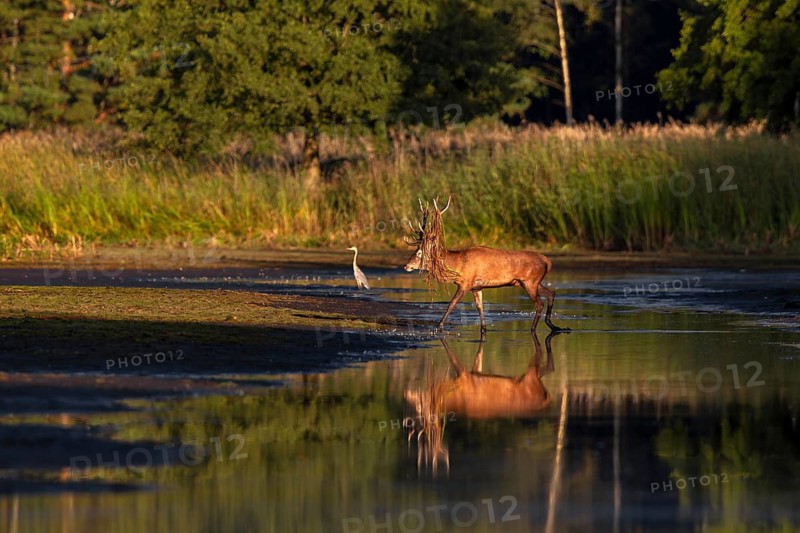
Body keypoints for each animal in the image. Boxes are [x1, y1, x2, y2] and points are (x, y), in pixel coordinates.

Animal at [403, 198, 570, 334]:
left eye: (419, 253)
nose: (406, 266)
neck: (456, 265)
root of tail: (548, 261)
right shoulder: (477, 287)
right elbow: (480, 307)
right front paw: (483, 328)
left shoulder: (466, 283)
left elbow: (452, 303)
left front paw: (438, 326)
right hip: (532, 282)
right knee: (551, 293)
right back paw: (555, 326)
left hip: (530, 281)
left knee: (539, 304)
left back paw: (533, 328)